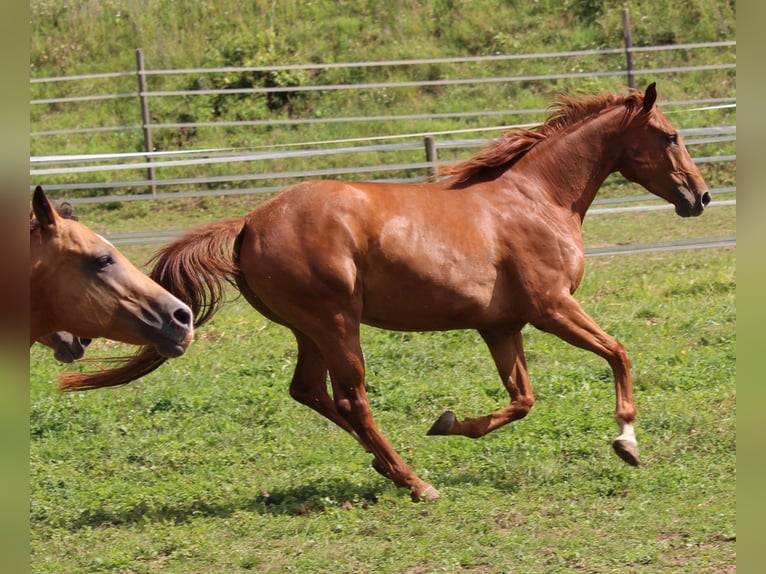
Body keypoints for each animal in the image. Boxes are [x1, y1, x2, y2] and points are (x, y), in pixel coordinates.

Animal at [57, 85, 712, 504]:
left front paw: (449, 423)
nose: (700, 197)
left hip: (310, 329)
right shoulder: (553, 308)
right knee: (353, 399)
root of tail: (247, 224)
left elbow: (522, 399)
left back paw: (388, 466)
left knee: (310, 392)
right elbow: (619, 353)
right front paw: (626, 441)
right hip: (337, 322)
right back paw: (416, 482)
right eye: (670, 135)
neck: (537, 200)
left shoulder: (502, 325)